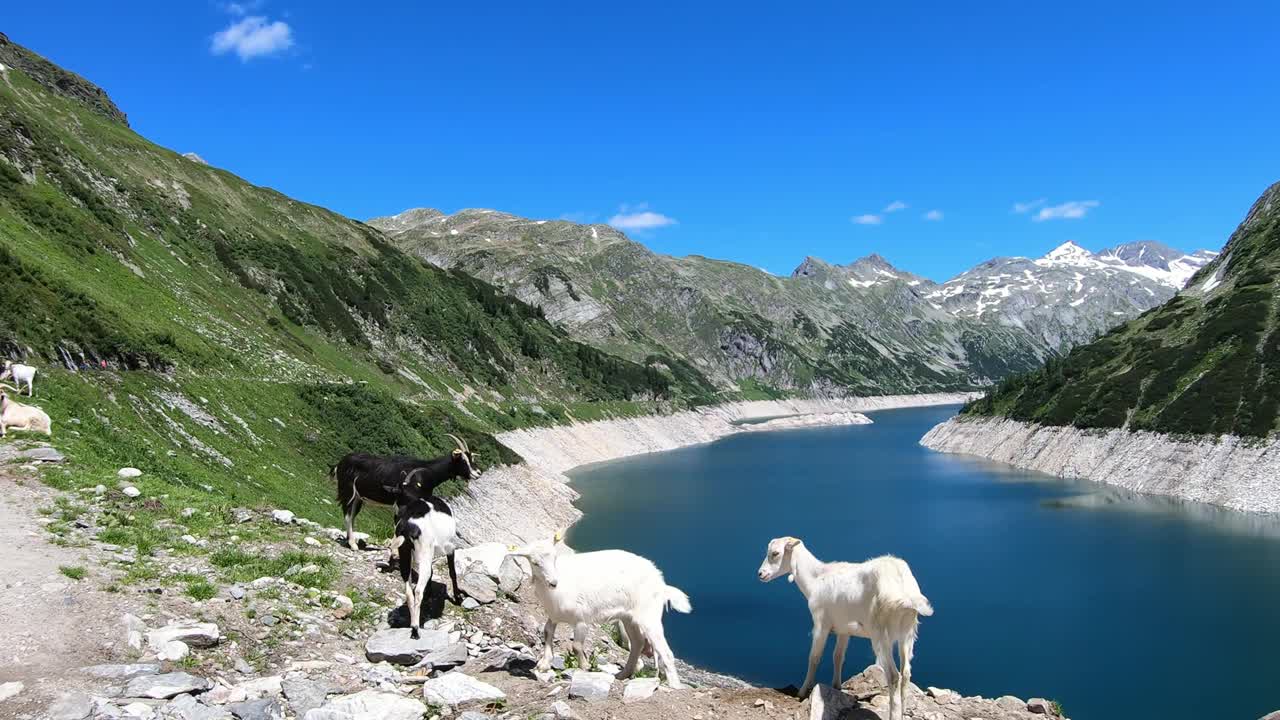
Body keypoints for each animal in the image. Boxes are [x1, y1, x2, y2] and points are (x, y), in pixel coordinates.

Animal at [506, 535, 696, 686]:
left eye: (555, 558)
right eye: (535, 563)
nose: (553, 583)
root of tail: (660, 581)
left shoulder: (582, 618)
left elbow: (576, 646)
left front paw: (584, 667)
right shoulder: (553, 615)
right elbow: (547, 632)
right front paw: (544, 664)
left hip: (648, 614)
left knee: (665, 651)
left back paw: (674, 685)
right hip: (628, 618)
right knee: (637, 643)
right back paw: (623, 674)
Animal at [752, 532, 936, 717]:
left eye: (775, 553)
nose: (760, 574)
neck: (816, 578)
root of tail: (903, 588)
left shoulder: (821, 624)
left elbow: (814, 657)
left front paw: (802, 692)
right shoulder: (844, 630)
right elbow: (838, 657)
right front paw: (836, 687)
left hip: (881, 635)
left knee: (893, 675)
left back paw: (894, 713)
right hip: (907, 633)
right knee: (906, 672)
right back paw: (904, 710)